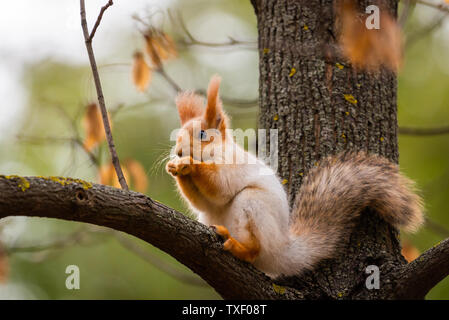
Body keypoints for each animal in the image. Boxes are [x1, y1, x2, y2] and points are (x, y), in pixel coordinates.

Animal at [165, 75, 424, 278]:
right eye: (177, 137)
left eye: (202, 134)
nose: (178, 152)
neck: (215, 152)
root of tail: (283, 250)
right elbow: (201, 202)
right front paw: (174, 168)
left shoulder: (234, 165)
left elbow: (220, 187)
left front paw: (189, 165)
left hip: (253, 206)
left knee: (255, 250)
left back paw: (239, 246)